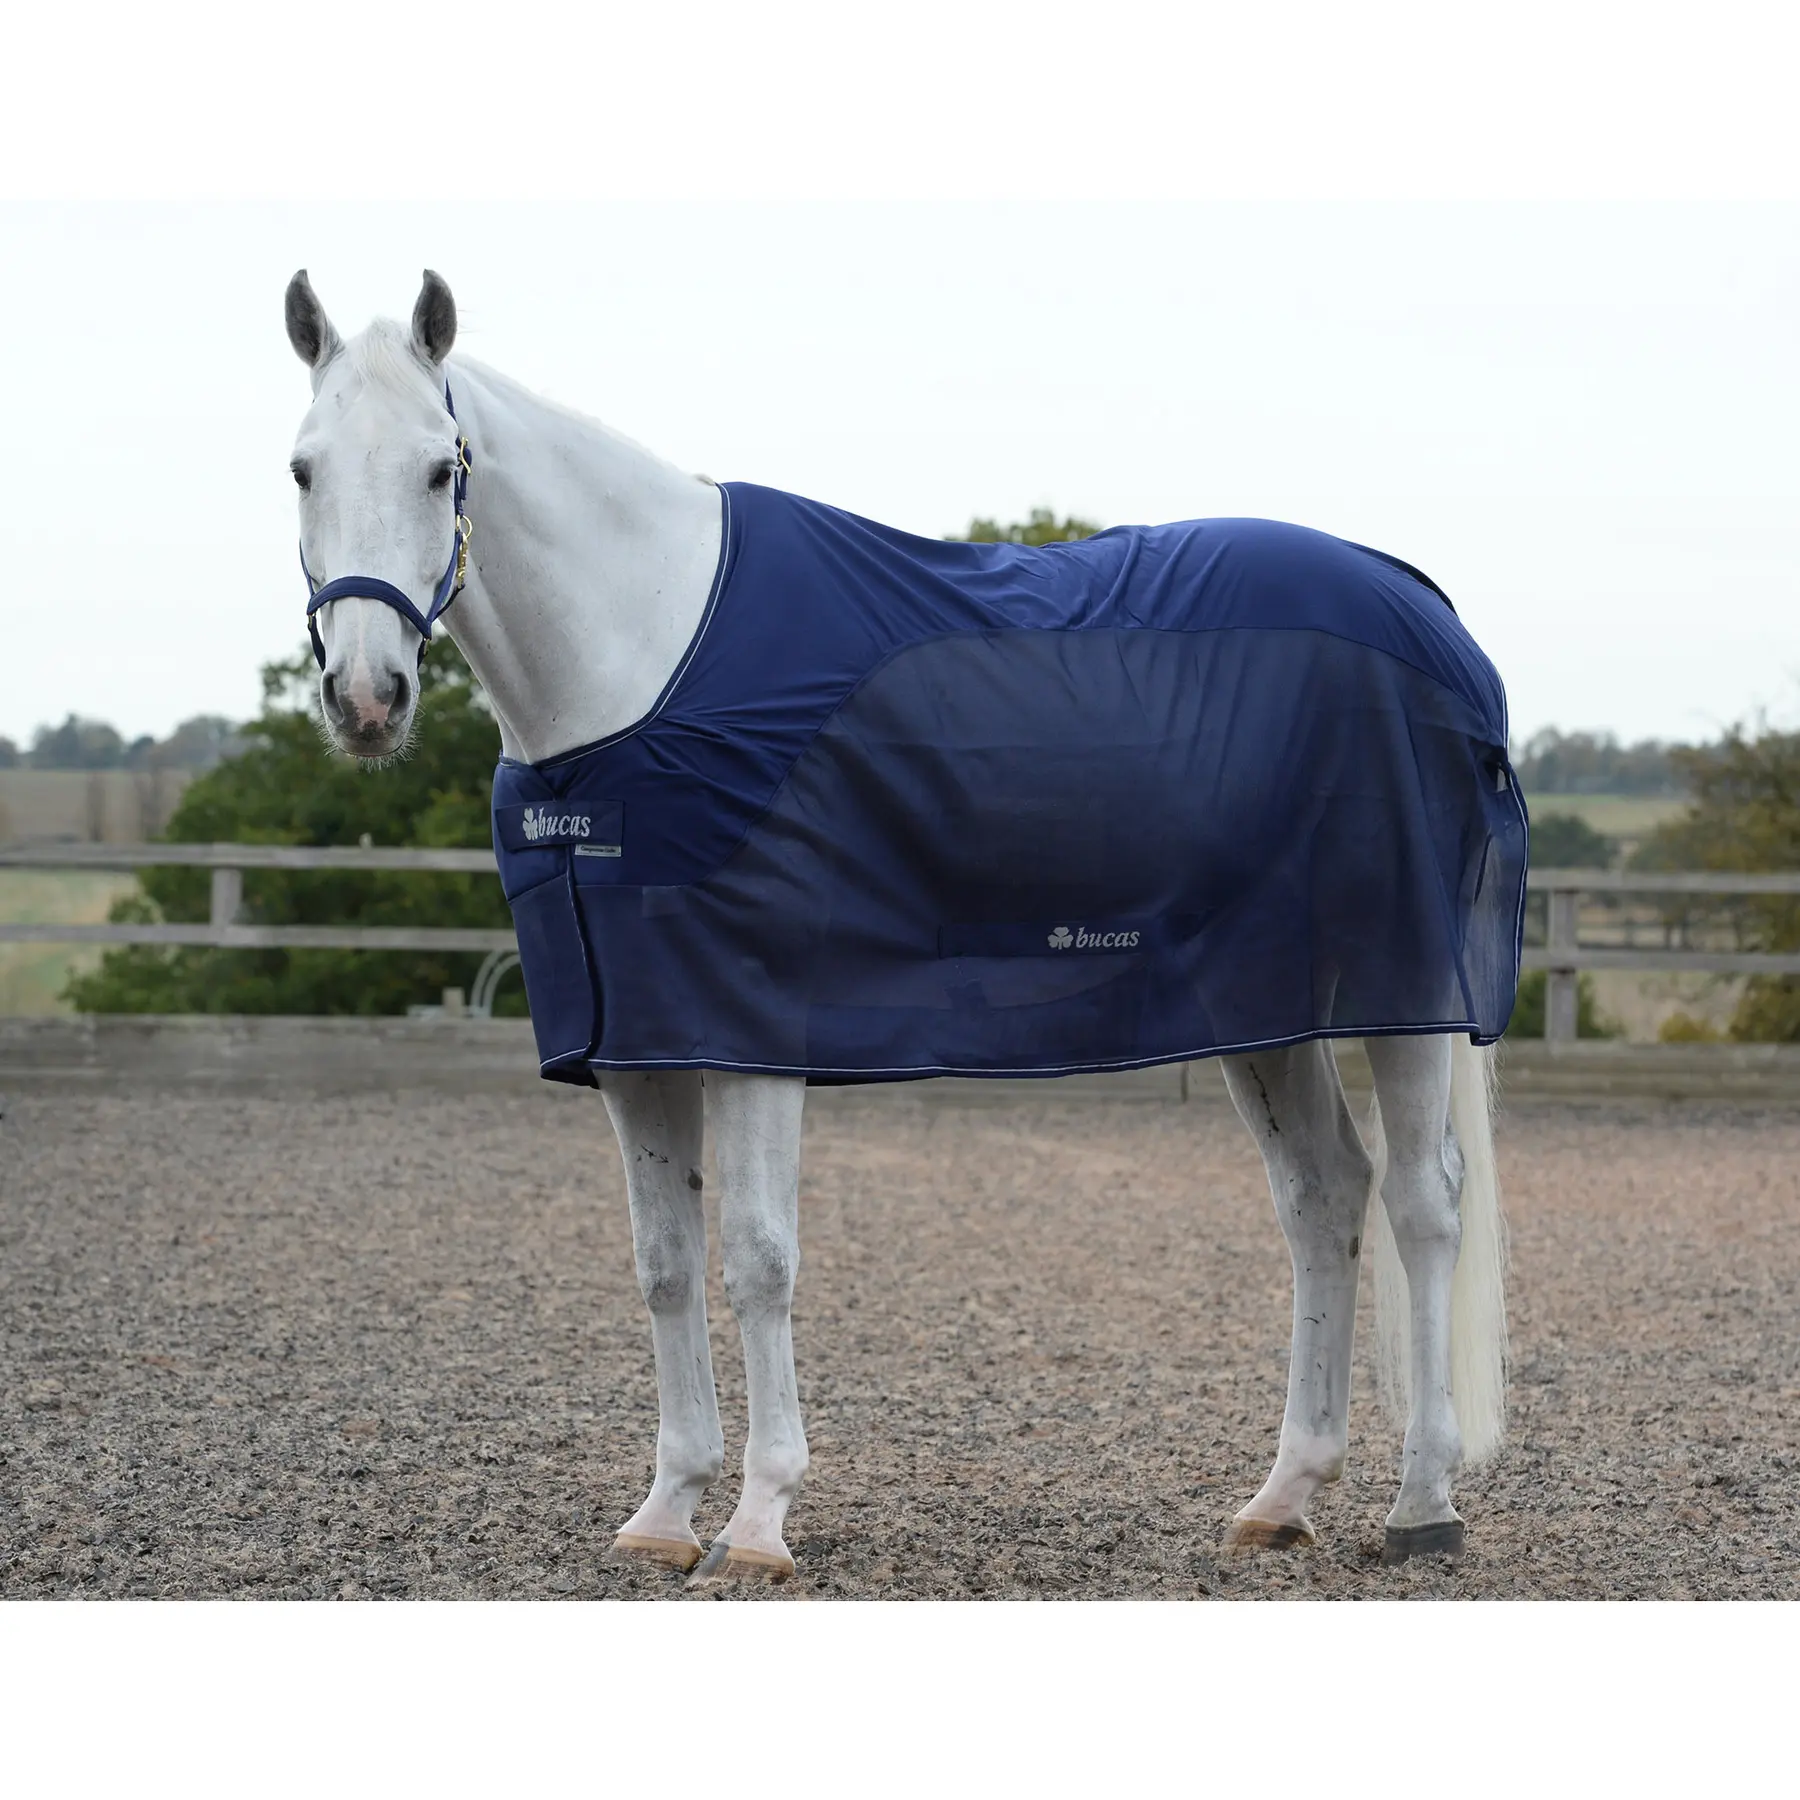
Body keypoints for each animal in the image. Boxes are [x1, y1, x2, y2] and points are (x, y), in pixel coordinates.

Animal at [283, 269, 1520, 1583]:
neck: (647, 663)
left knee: (1421, 1206)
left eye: (439, 469)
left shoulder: (751, 1029)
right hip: (1264, 1002)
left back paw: (1423, 1504)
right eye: (303, 468)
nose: (366, 699)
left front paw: (760, 1521)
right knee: (1323, 1199)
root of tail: (1430, 613)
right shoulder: (636, 1043)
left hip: (1401, 986)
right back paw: (1283, 1497)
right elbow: (665, 1266)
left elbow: (758, 1260)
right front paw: (666, 1512)